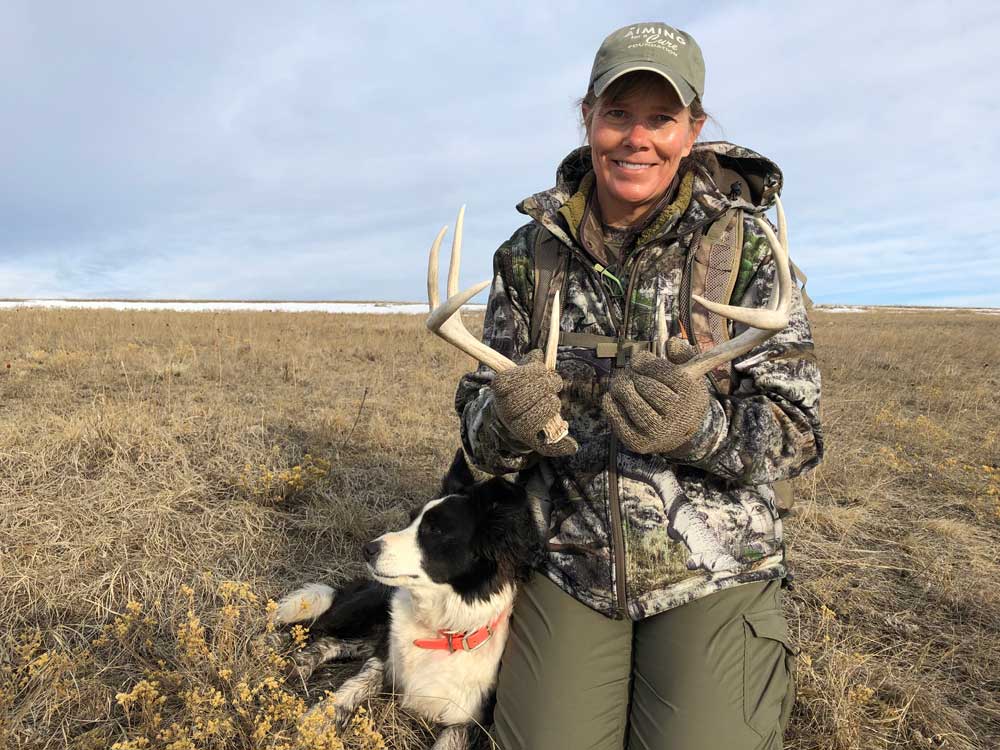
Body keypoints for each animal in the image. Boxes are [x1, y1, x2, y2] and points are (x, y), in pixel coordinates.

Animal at [272, 452, 540, 750]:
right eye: (411, 519)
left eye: (435, 530)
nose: (367, 549)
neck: (440, 630)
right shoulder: (384, 661)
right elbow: (352, 687)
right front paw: (318, 720)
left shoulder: (468, 722)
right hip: (360, 610)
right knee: (317, 628)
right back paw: (279, 651)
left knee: (336, 642)